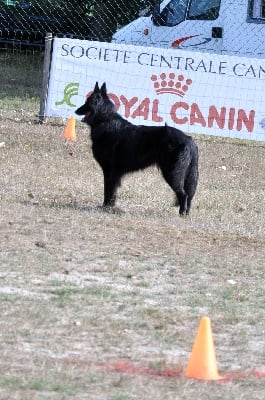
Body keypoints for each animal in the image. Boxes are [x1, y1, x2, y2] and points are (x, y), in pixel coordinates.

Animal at [75, 82, 197, 216]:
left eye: (87, 102)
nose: (76, 111)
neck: (105, 121)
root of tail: (189, 140)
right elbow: (112, 191)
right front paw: (110, 206)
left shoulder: (109, 170)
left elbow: (108, 190)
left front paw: (105, 207)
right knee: (189, 195)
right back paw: (186, 214)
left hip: (172, 173)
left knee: (183, 194)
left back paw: (181, 213)